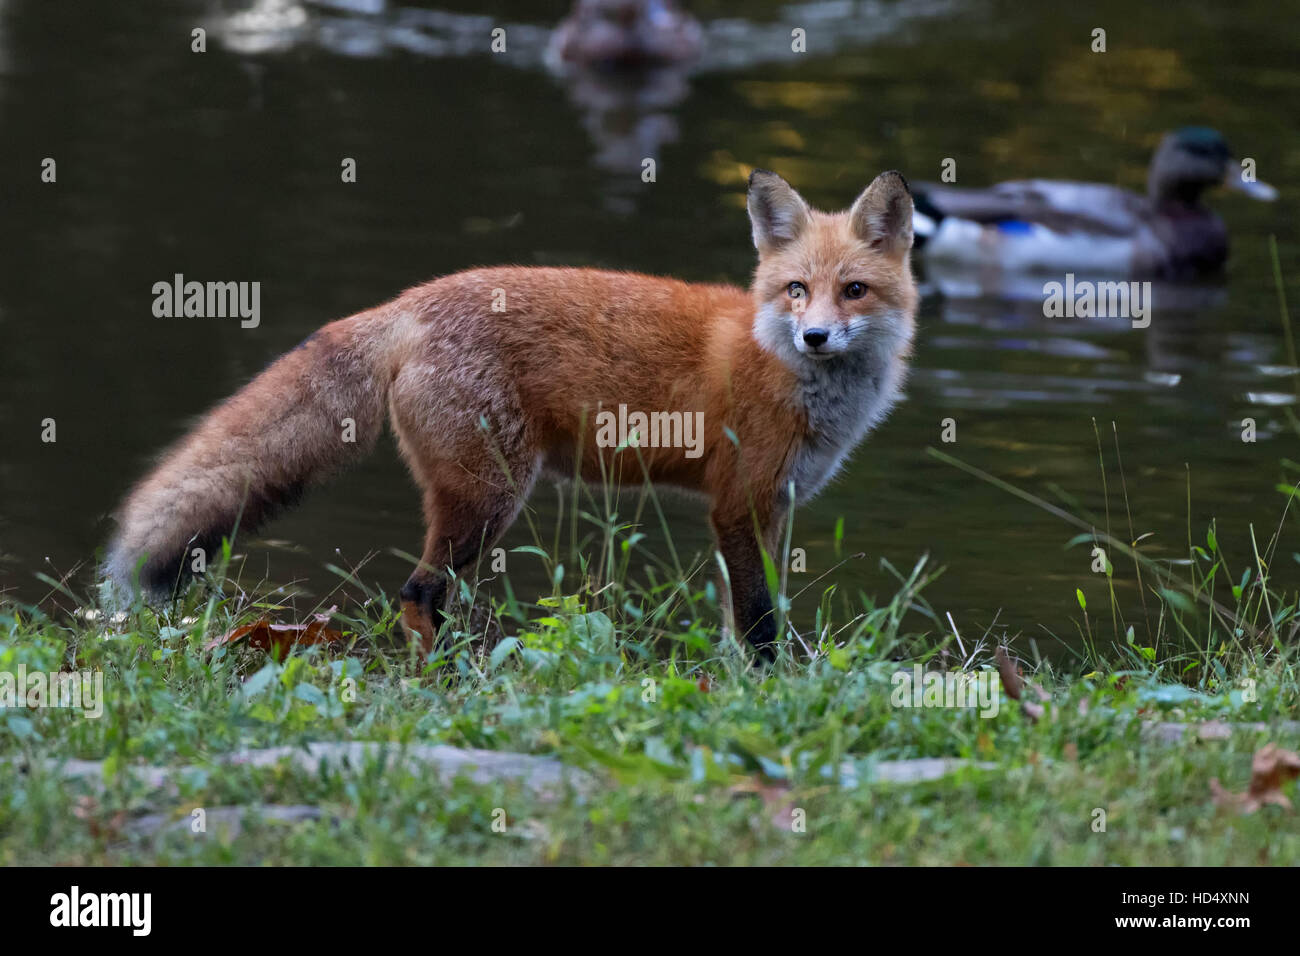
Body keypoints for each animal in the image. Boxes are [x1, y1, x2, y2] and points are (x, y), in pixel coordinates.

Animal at [106, 167, 920, 655]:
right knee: (417, 592)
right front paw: (768, 691)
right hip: (489, 497)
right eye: (795, 290)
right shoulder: (739, 504)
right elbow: (759, 625)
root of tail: (409, 302)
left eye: (853, 291)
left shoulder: (776, 507)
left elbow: (749, 617)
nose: (815, 336)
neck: (789, 372)